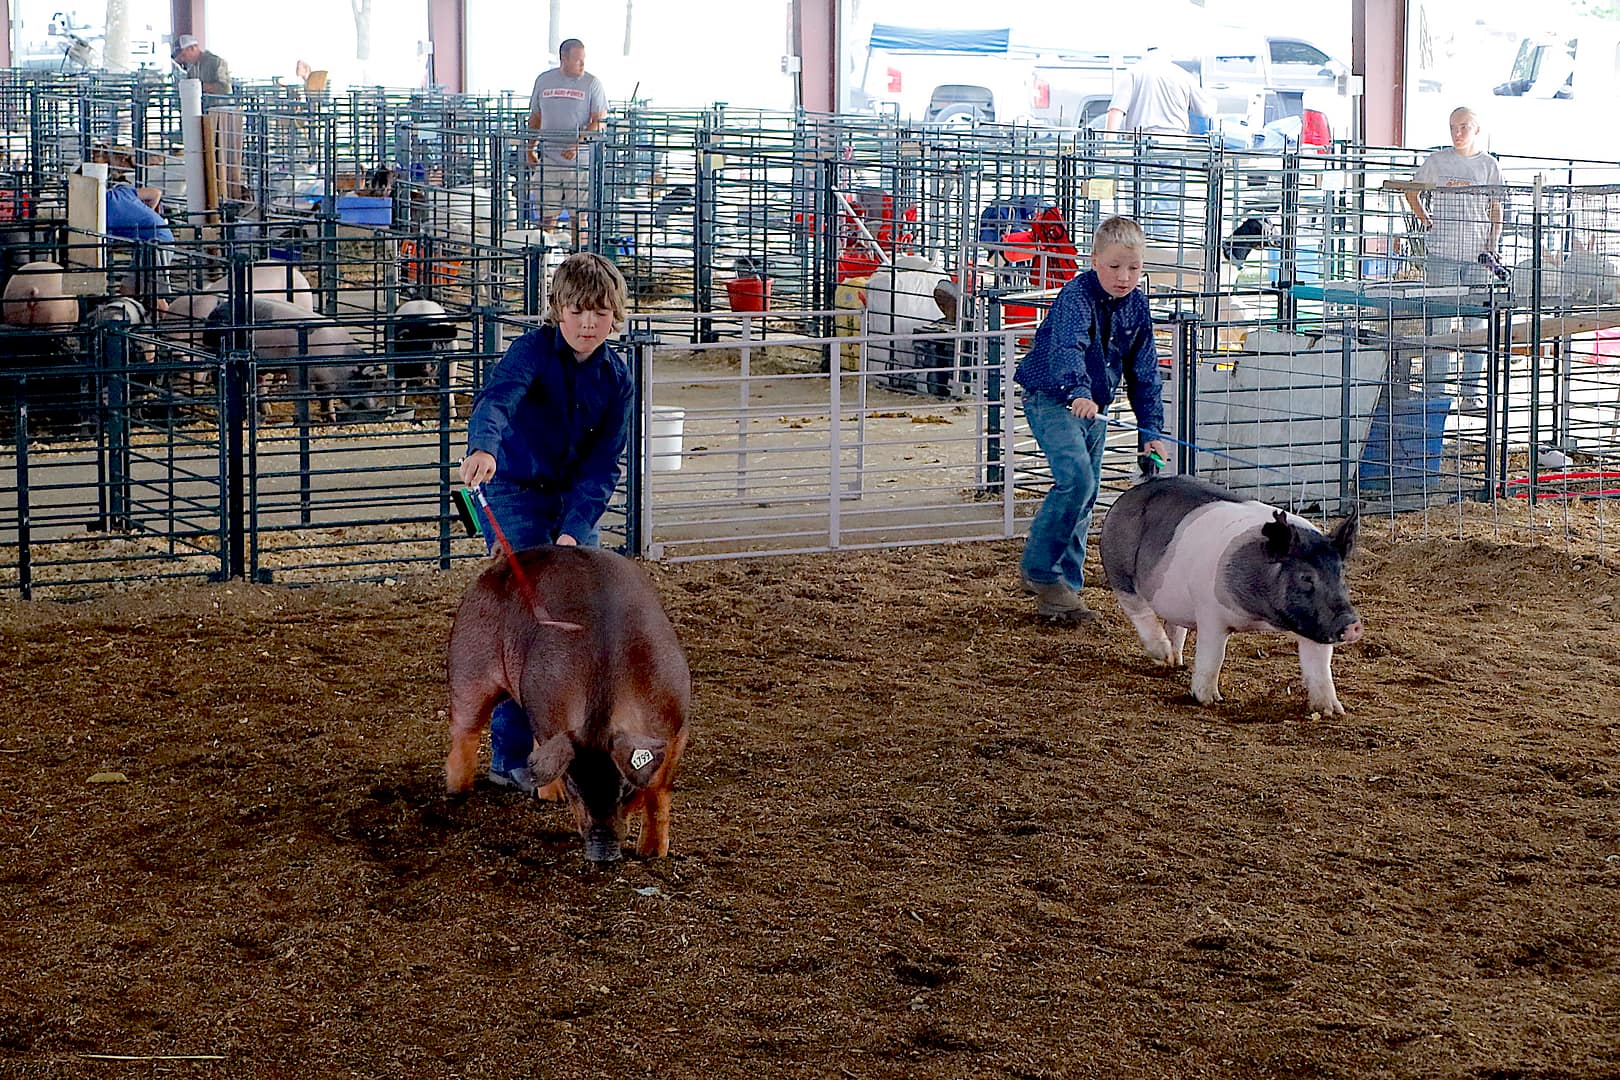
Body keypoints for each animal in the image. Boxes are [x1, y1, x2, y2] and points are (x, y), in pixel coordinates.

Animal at [447, 550, 693, 861]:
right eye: (575, 785)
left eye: (625, 790)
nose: (602, 852)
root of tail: (504, 563)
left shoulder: (678, 725)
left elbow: (659, 788)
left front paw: (652, 853)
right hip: (467, 665)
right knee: (465, 732)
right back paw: (458, 790)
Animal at [1108, 476, 1360, 712]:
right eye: (1306, 577)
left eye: (1341, 573)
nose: (1352, 624)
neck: (1261, 617)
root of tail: (1137, 490)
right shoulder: (1209, 611)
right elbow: (1213, 657)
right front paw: (1210, 700)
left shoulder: (1314, 625)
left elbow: (1319, 666)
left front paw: (1332, 710)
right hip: (1119, 569)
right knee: (1138, 610)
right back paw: (1164, 656)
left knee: (1175, 626)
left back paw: (1175, 662)